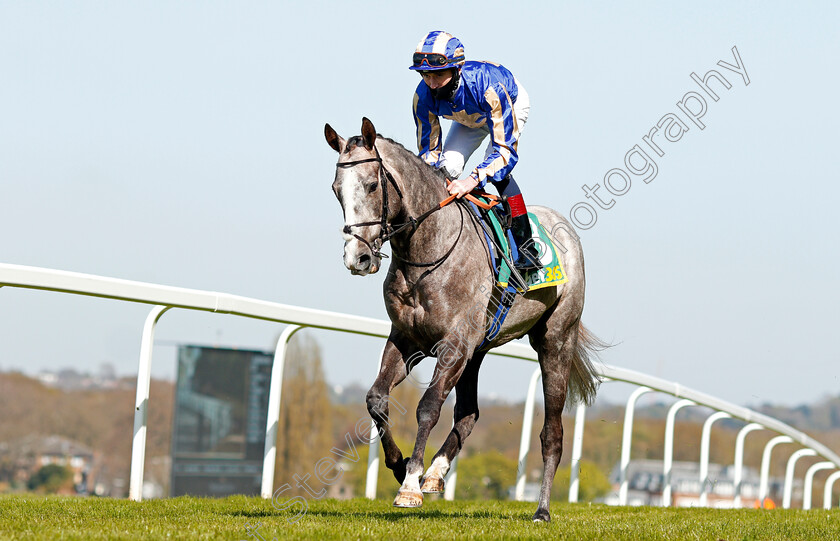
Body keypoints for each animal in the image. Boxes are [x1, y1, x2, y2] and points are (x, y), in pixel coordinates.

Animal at [324, 117, 604, 520]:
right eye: (336, 190)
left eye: (372, 185)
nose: (357, 258)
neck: (427, 251)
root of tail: (564, 227)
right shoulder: (406, 338)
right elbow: (376, 399)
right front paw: (400, 465)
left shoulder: (453, 344)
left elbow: (427, 407)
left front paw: (410, 485)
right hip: (477, 350)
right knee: (469, 413)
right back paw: (437, 472)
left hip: (555, 341)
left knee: (552, 433)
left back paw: (541, 509)